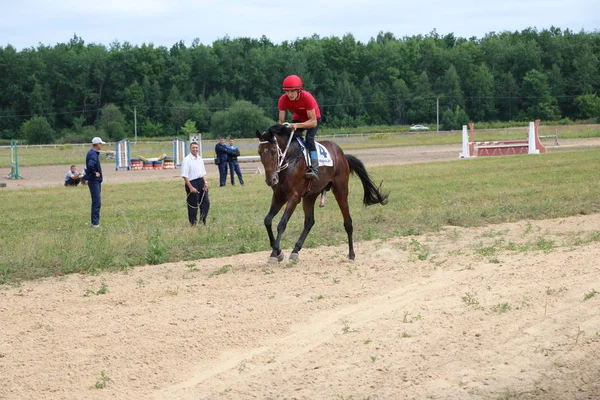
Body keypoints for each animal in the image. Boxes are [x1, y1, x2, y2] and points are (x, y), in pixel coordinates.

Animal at [254, 123, 390, 264]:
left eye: (273, 152)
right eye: (259, 152)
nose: (271, 180)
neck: (290, 159)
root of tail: (342, 155)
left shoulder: (294, 197)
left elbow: (282, 224)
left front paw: (275, 252)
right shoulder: (279, 196)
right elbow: (267, 220)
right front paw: (278, 252)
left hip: (340, 191)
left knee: (348, 222)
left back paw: (351, 254)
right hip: (310, 195)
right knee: (309, 221)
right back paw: (295, 250)